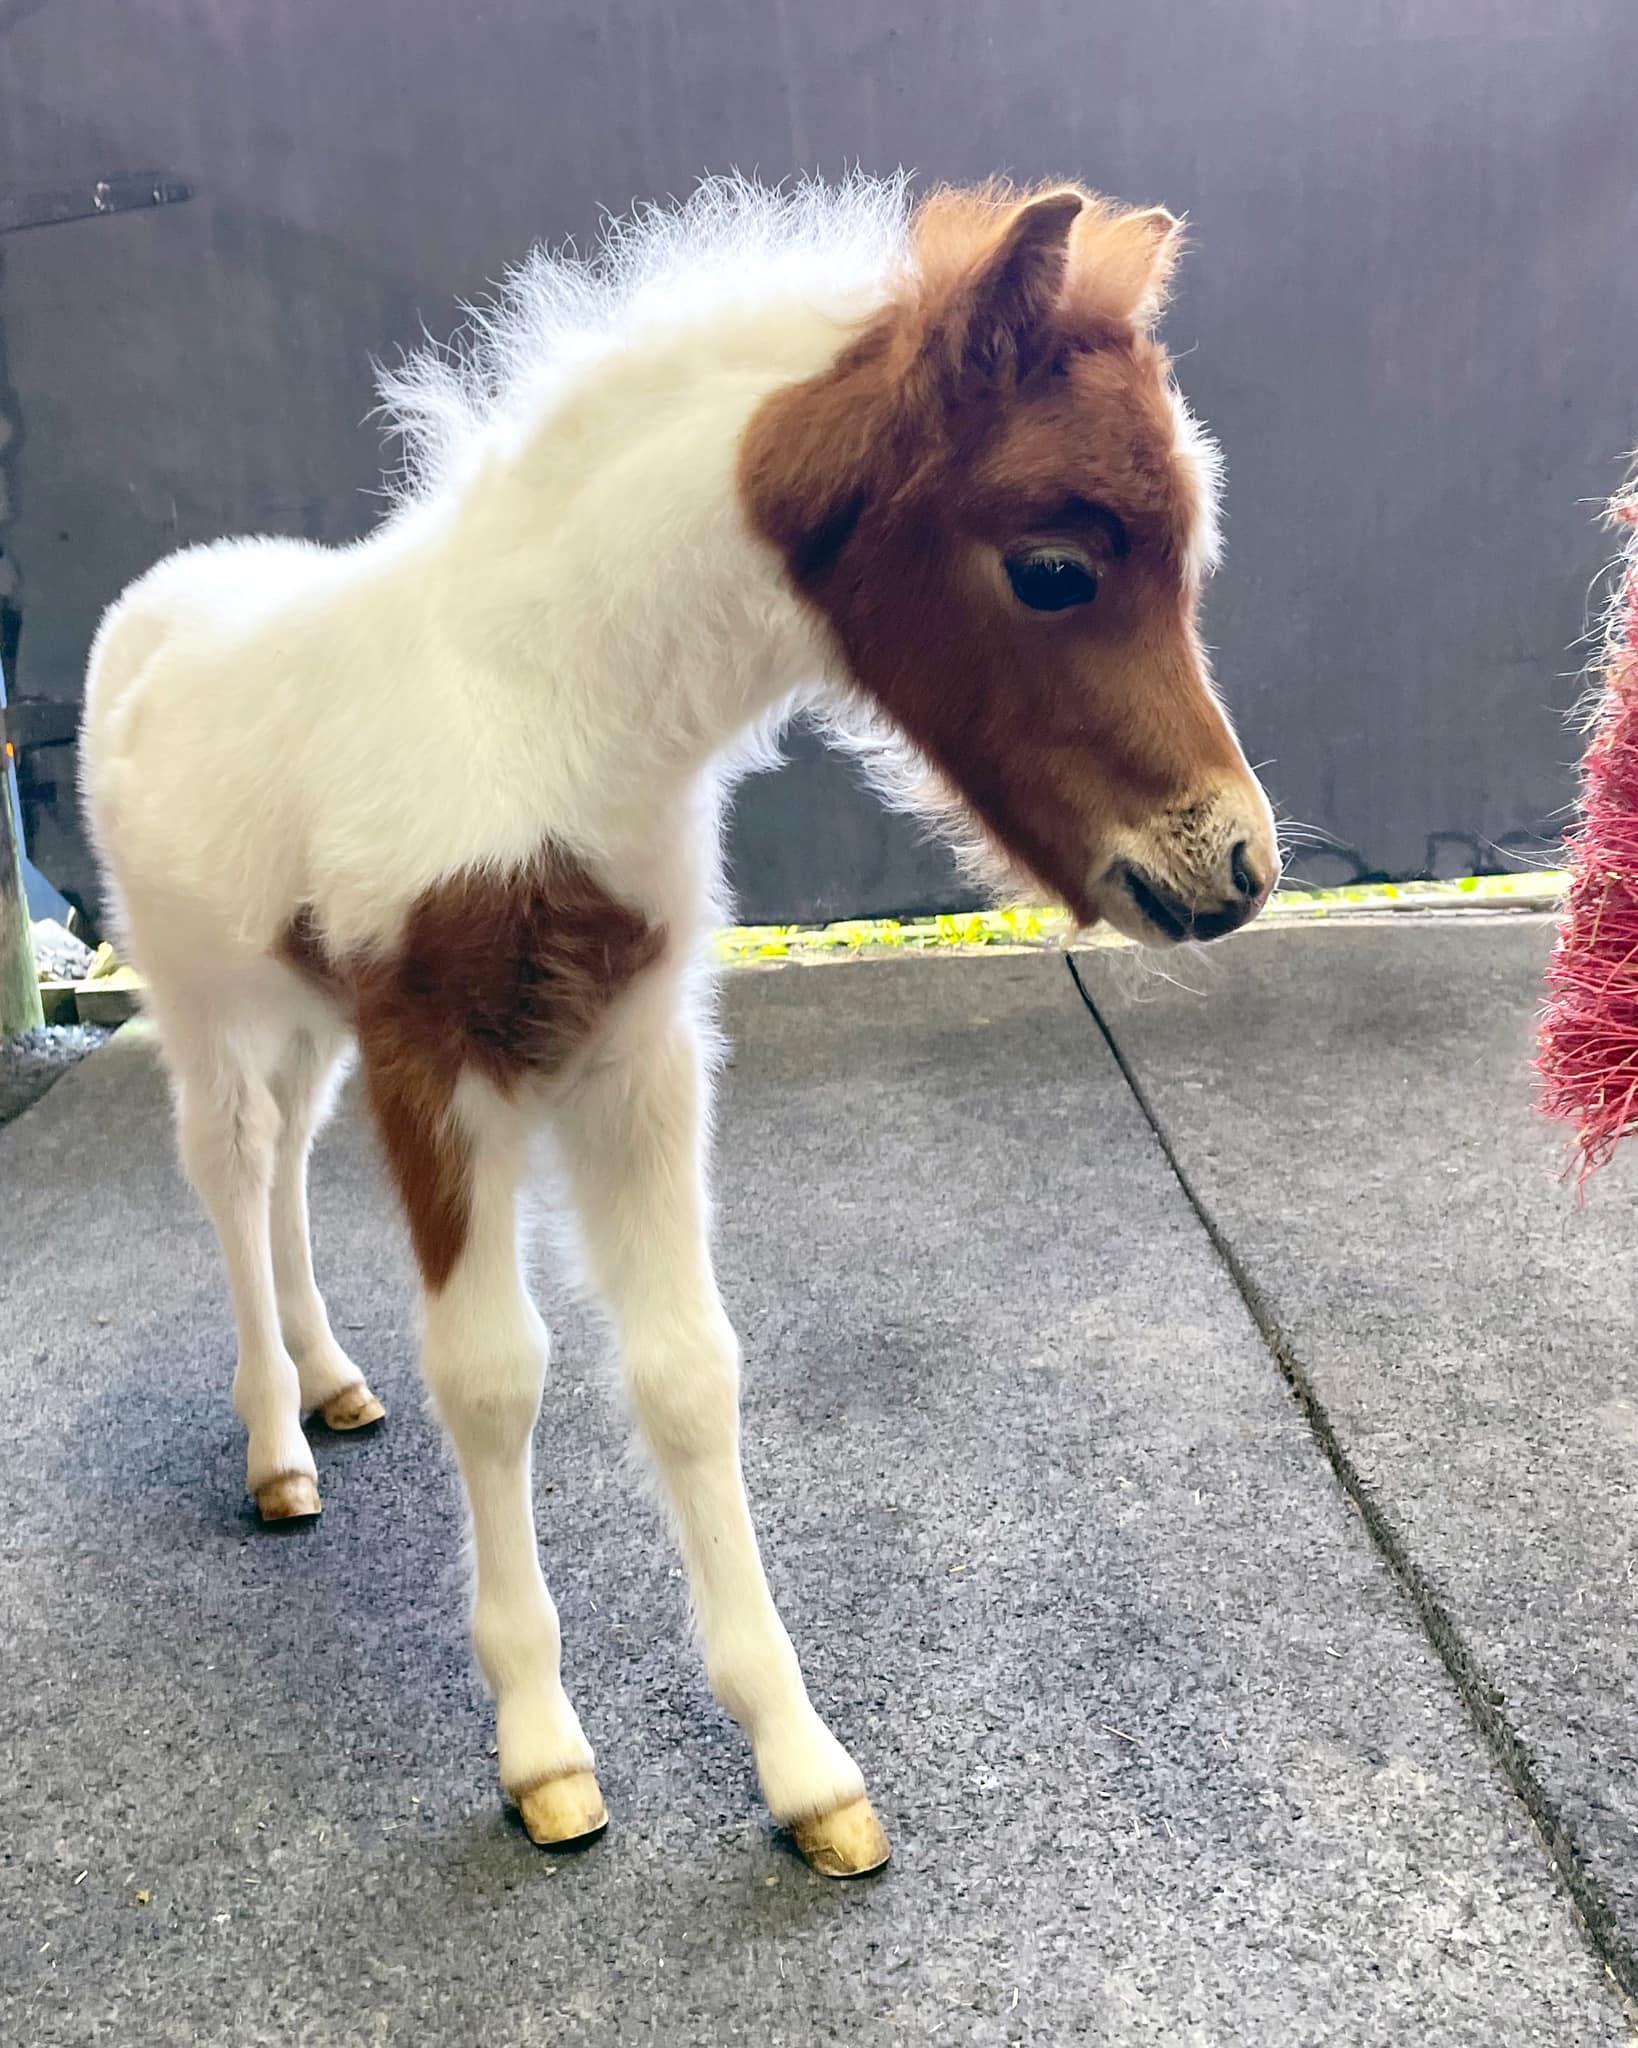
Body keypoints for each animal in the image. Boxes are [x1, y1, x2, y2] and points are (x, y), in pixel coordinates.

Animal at [79, 173, 1278, 1877]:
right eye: (1054, 566)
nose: (1233, 869)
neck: (541, 707)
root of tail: (166, 589)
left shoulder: (636, 1057)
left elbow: (686, 1369)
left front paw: (805, 1770)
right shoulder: (438, 1060)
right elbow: (495, 1375)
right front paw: (542, 1755)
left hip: (309, 1005)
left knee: (295, 1161)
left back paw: (330, 1382)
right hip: (202, 993)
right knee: (236, 1169)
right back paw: (275, 1449)